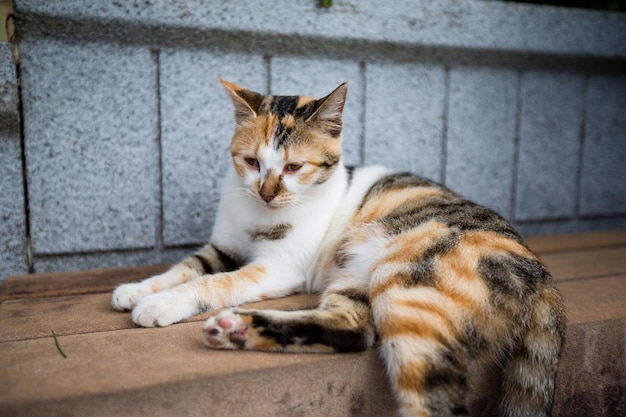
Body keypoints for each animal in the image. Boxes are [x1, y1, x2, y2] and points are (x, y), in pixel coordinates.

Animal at [113, 79, 564, 416]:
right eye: (252, 162)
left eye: (294, 167)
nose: (267, 192)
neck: (258, 216)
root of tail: (543, 278)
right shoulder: (223, 245)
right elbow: (187, 266)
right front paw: (137, 289)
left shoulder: (279, 266)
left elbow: (215, 282)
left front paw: (161, 304)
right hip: (356, 275)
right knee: (354, 329)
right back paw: (237, 331)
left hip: (409, 280)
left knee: (426, 391)